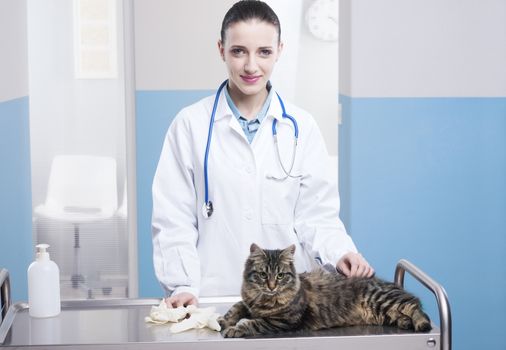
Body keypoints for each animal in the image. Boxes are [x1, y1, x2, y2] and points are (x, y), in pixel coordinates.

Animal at [217, 245, 430, 338]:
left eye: (280, 275)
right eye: (263, 274)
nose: (271, 286)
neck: (262, 299)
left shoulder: (282, 321)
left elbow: (252, 323)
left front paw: (234, 329)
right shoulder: (247, 303)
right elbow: (236, 308)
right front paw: (223, 321)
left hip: (383, 300)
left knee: (415, 307)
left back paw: (422, 324)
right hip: (385, 312)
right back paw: (405, 323)